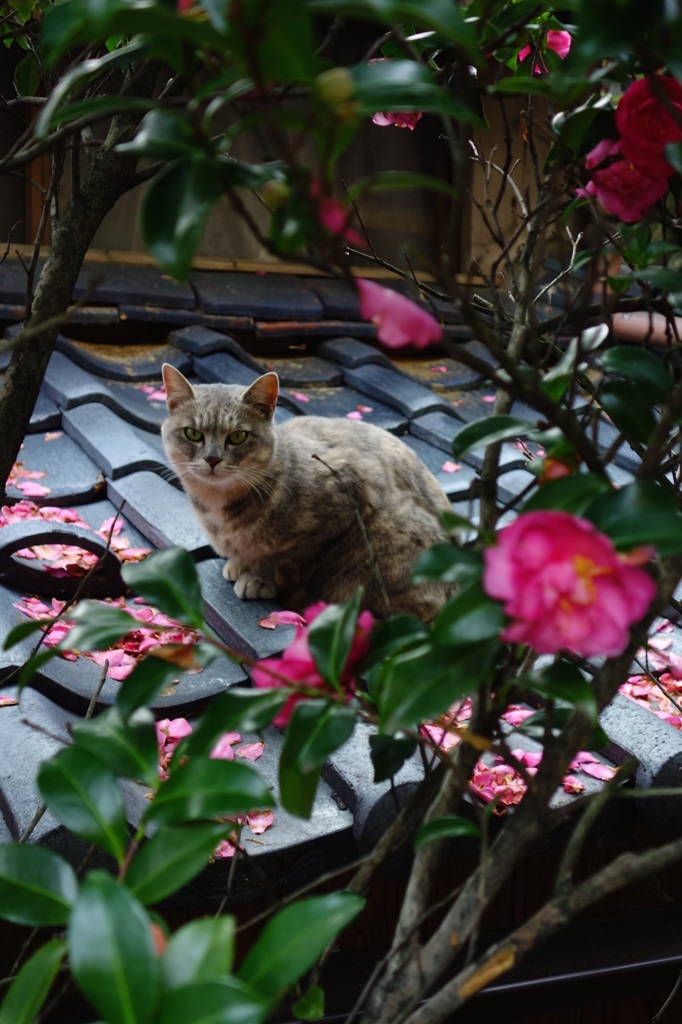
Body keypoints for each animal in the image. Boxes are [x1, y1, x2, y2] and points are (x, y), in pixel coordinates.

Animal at [161, 364, 454, 618]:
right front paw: (238, 563)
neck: (216, 505)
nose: (212, 459)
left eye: (237, 437)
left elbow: (279, 555)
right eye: (193, 434)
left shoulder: (345, 498)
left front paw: (257, 577)